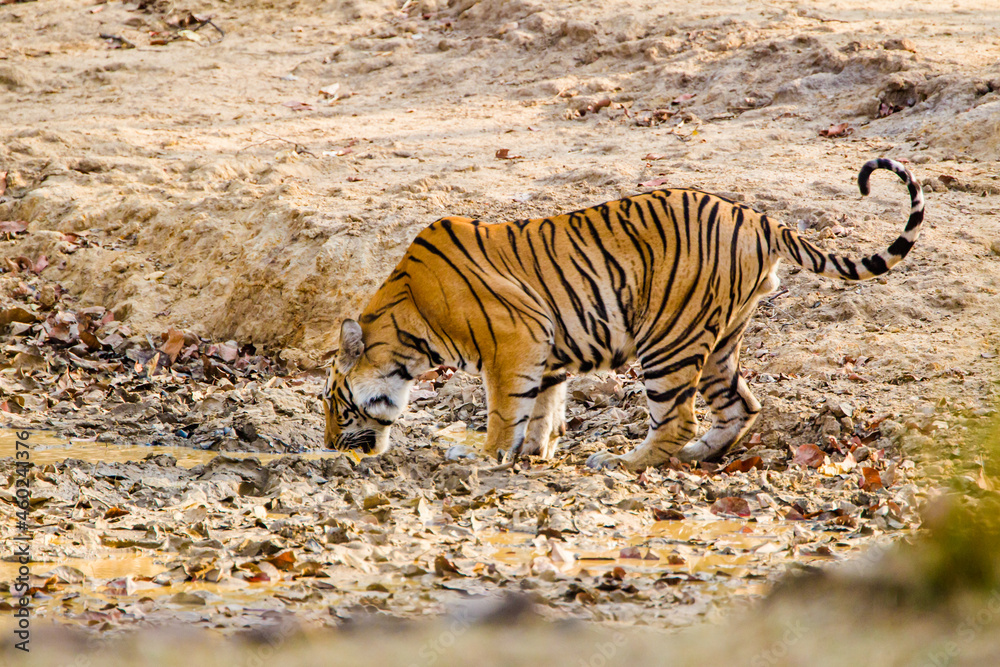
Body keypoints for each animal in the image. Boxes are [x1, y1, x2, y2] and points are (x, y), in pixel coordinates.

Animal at [321, 158, 923, 471]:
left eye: (334, 405)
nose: (327, 447)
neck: (408, 323)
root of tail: (758, 217)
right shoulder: (547, 354)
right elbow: (543, 410)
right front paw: (534, 452)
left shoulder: (514, 344)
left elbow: (505, 412)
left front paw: (484, 458)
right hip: (719, 341)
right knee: (740, 406)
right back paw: (695, 455)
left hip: (670, 340)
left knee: (678, 418)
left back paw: (623, 463)